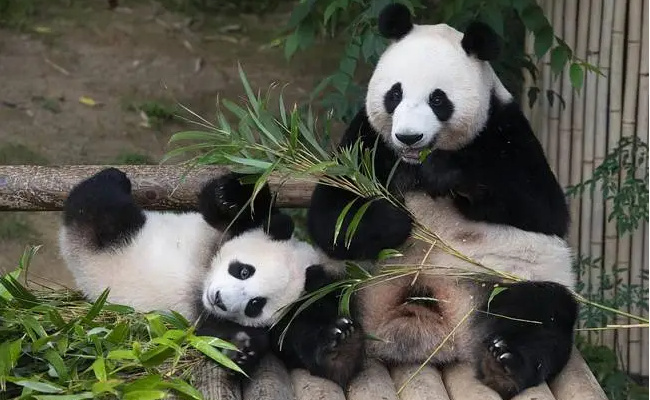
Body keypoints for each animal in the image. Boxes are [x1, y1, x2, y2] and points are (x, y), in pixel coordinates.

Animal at [59, 167, 364, 386]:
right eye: (244, 270)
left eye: (256, 305)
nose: (220, 300)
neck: (201, 281)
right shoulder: (224, 229)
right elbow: (228, 206)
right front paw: (231, 195)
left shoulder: (287, 316)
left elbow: (311, 352)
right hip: (117, 235)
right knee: (99, 205)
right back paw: (114, 177)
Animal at [308, 3, 576, 400]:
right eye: (395, 94)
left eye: (438, 99)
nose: (408, 137)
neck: (414, 162)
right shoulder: (365, 141)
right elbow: (331, 213)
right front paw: (394, 219)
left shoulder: (505, 129)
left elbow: (544, 209)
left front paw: (444, 174)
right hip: (348, 277)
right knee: (306, 299)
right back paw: (335, 348)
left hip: (509, 277)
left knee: (542, 313)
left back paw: (506, 365)